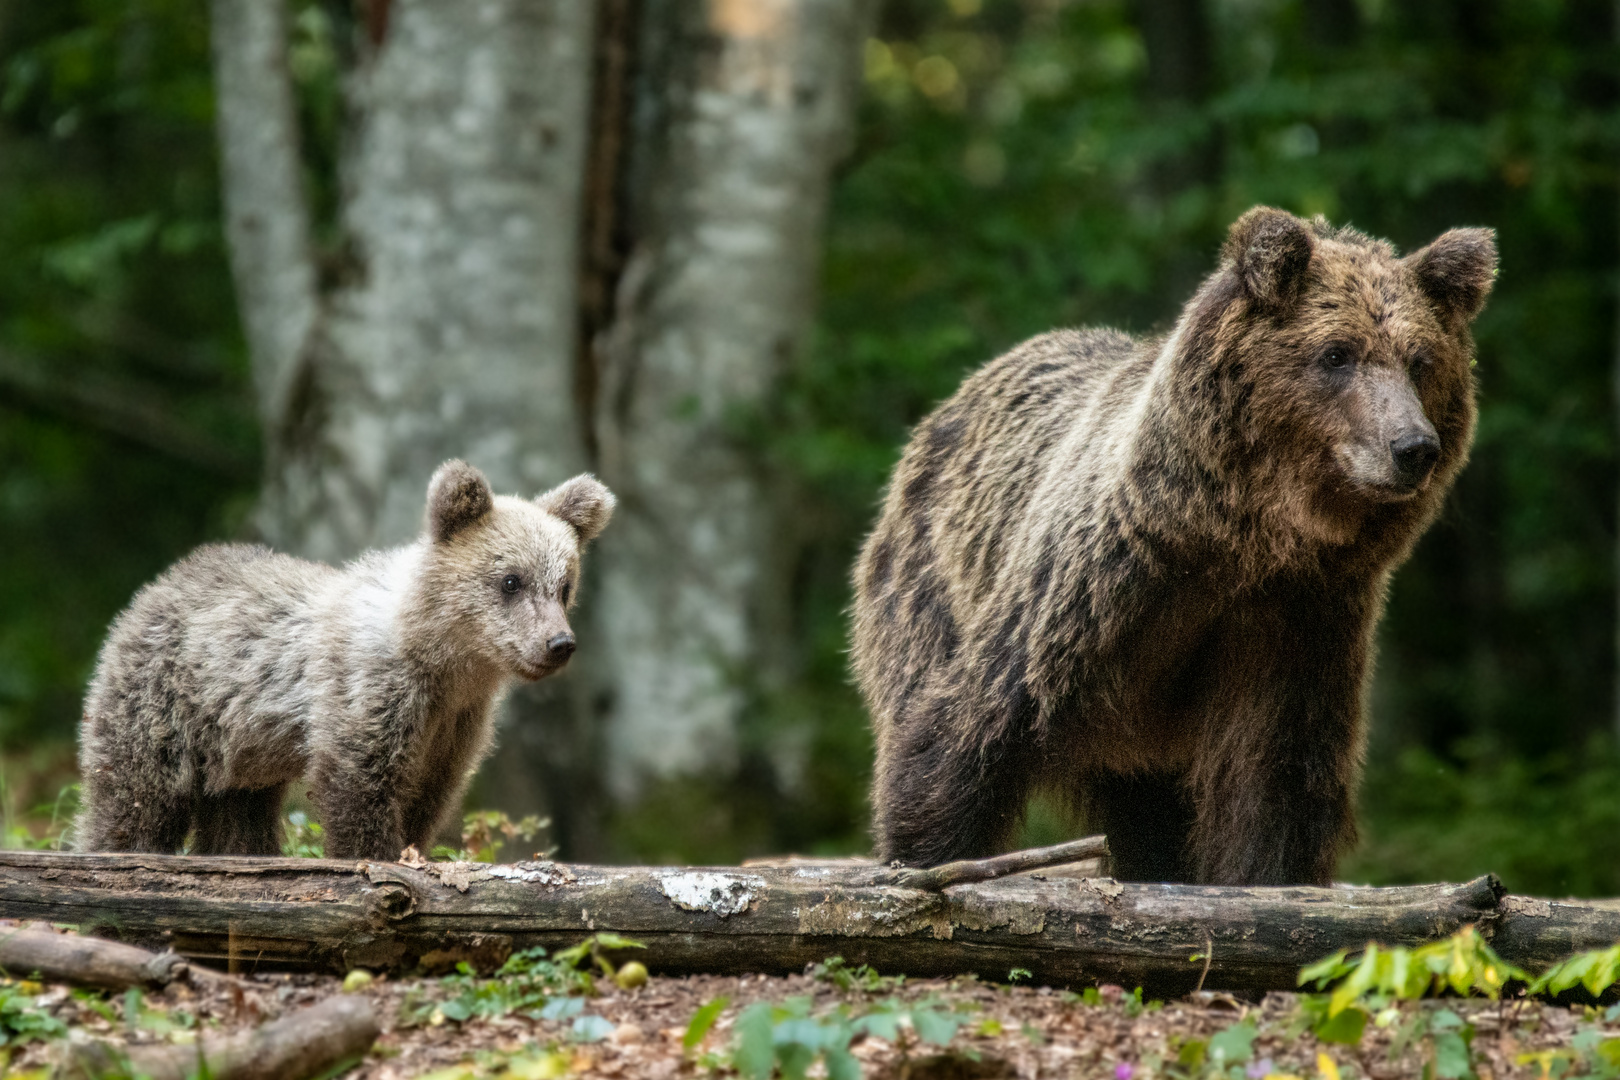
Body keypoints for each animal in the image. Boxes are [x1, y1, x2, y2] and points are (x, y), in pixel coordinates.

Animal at [855, 207, 1496, 880]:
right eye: (1337, 353)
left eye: (1421, 360)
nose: (1412, 446)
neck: (1243, 541)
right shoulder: (1096, 593)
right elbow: (963, 732)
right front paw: (925, 859)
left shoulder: (1298, 622)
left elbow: (1277, 786)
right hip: (930, 582)